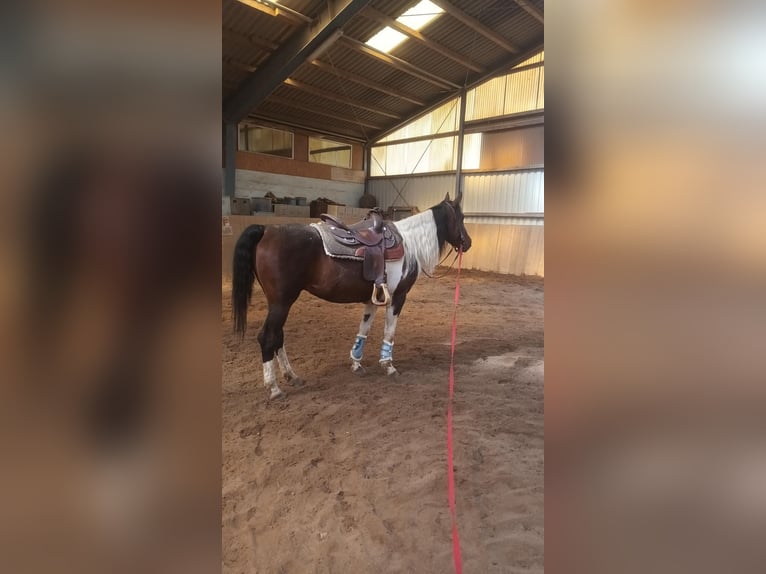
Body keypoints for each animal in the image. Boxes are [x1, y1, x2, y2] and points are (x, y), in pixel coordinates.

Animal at [231, 191, 472, 399]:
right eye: (460, 217)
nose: (467, 243)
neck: (408, 242)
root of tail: (266, 230)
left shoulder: (373, 299)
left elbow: (363, 330)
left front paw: (356, 363)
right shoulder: (398, 297)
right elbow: (389, 332)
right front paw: (388, 365)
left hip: (279, 302)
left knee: (278, 337)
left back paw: (292, 376)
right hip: (281, 302)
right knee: (267, 337)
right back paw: (274, 388)